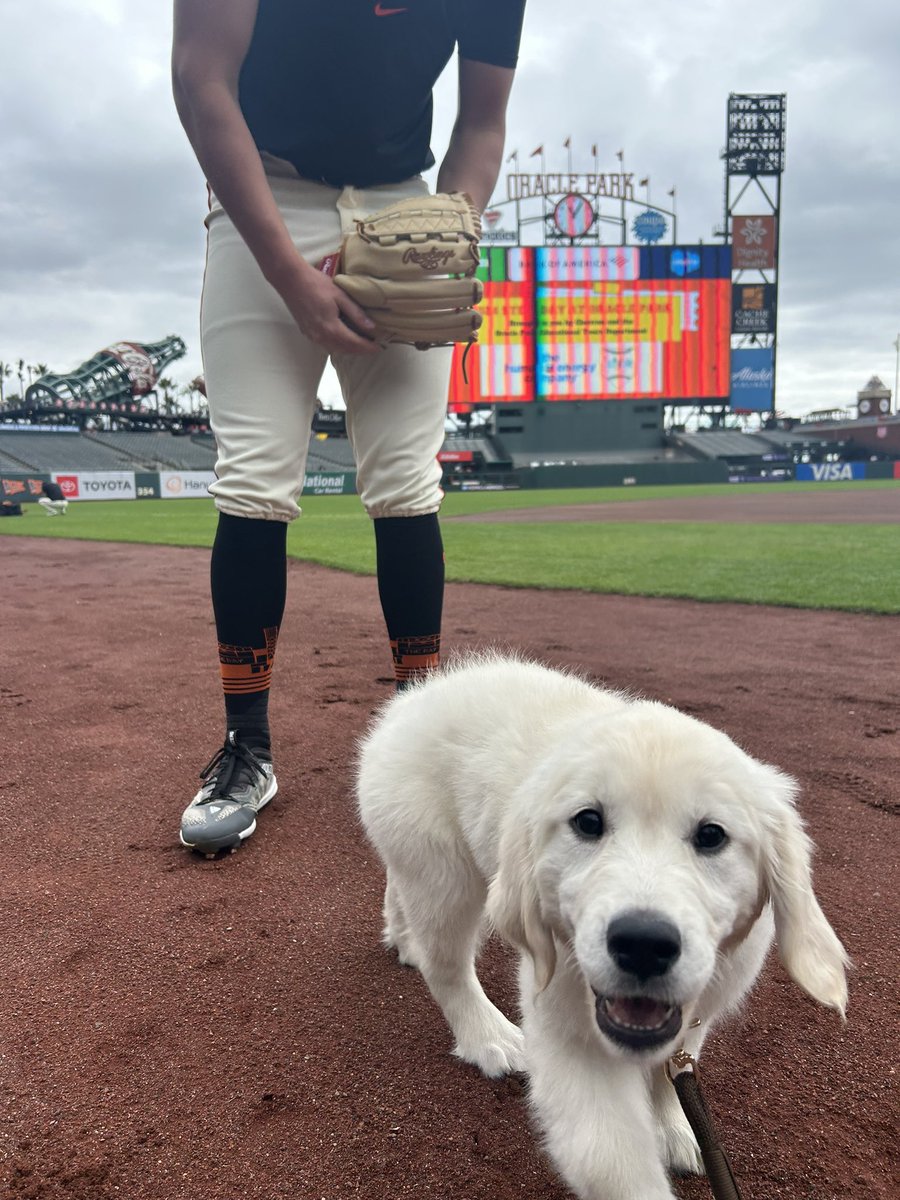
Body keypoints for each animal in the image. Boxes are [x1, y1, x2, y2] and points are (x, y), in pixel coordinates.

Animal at [355, 657, 849, 1200]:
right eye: (588, 822)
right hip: (443, 874)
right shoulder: (569, 1029)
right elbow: (612, 1163)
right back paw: (489, 1038)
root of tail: (416, 695)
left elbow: (670, 1068)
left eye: (712, 835)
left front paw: (673, 1127)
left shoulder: (699, 1009)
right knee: (448, 969)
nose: (644, 944)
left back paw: (403, 939)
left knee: (397, 887)